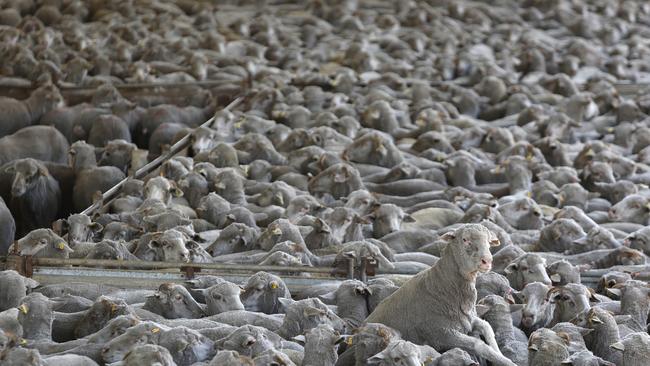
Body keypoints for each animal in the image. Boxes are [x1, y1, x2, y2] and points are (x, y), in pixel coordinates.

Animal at [362, 224, 512, 364]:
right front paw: (507, 362)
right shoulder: (442, 334)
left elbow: (487, 327)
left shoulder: (467, 320)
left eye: (489, 241)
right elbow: (479, 345)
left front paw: (500, 354)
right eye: (465, 239)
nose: (487, 261)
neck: (442, 286)